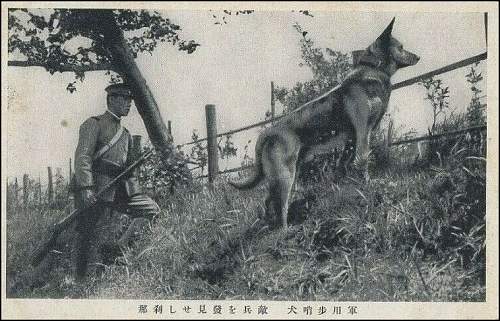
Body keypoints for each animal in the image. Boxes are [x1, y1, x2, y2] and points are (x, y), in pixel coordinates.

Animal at [229, 18, 420, 228]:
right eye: (401, 48)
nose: (418, 57)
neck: (373, 70)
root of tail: (269, 132)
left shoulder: (352, 139)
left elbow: (347, 165)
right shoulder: (363, 132)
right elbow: (363, 162)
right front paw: (367, 186)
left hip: (287, 174)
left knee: (268, 202)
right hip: (285, 176)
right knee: (280, 207)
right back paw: (284, 229)